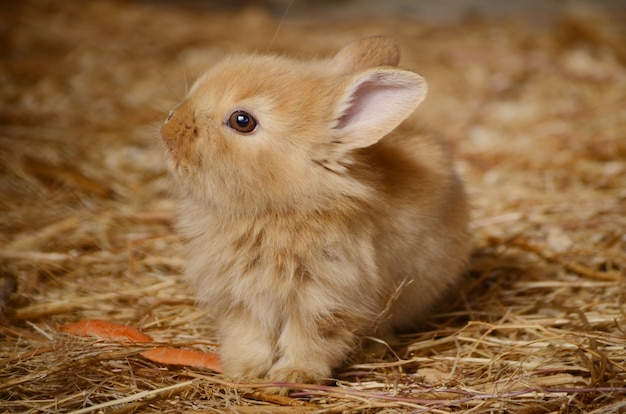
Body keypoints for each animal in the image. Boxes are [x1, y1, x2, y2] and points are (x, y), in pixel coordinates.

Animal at [161, 35, 468, 392]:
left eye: (242, 121)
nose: (169, 126)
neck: (278, 210)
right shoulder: (242, 300)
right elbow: (249, 336)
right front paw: (243, 371)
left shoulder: (325, 300)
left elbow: (310, 340)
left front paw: (293, 376)